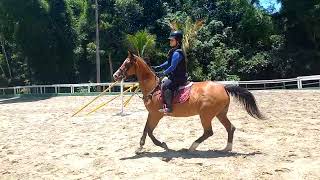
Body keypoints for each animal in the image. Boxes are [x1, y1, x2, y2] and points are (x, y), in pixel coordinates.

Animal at [113, 51, 264, 154]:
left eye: (127, 63)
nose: (115, 75)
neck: (153, 87)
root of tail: (223, 87)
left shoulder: (157, 115)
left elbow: (150, 132)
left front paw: (163, 145)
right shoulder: (151, 114)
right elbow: (145, 130)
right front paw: (140, 147)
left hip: (206, 115)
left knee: (209, 132)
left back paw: (192, 147)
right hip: (220, 114)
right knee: (230, 128)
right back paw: (226, 148)